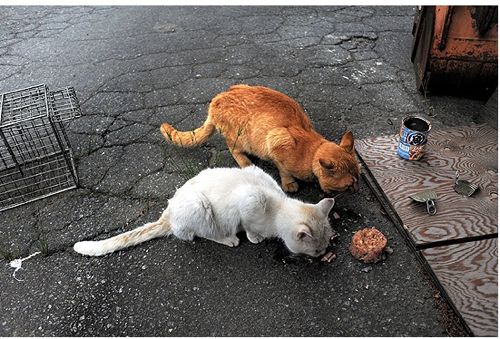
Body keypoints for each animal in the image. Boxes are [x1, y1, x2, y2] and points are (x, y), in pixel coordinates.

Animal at [72, 167, 334, 258]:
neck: (277, 206)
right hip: (200, 207)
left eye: (325, 247)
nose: (322, 255)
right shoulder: (249, 202)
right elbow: (249, 226)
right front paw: (254, 237)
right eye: (316, 250)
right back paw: (228, 238)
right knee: (198, 234)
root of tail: (168, 213)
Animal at [160, 85, 360, 194]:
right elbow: (284, 170)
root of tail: (216, 100)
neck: (309, 150)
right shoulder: (276, 141)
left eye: (358, 178)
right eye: (349, 184)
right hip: (241, 137)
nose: (356, 189)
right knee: (233, 149)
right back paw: (246, 162)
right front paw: (289, 183)